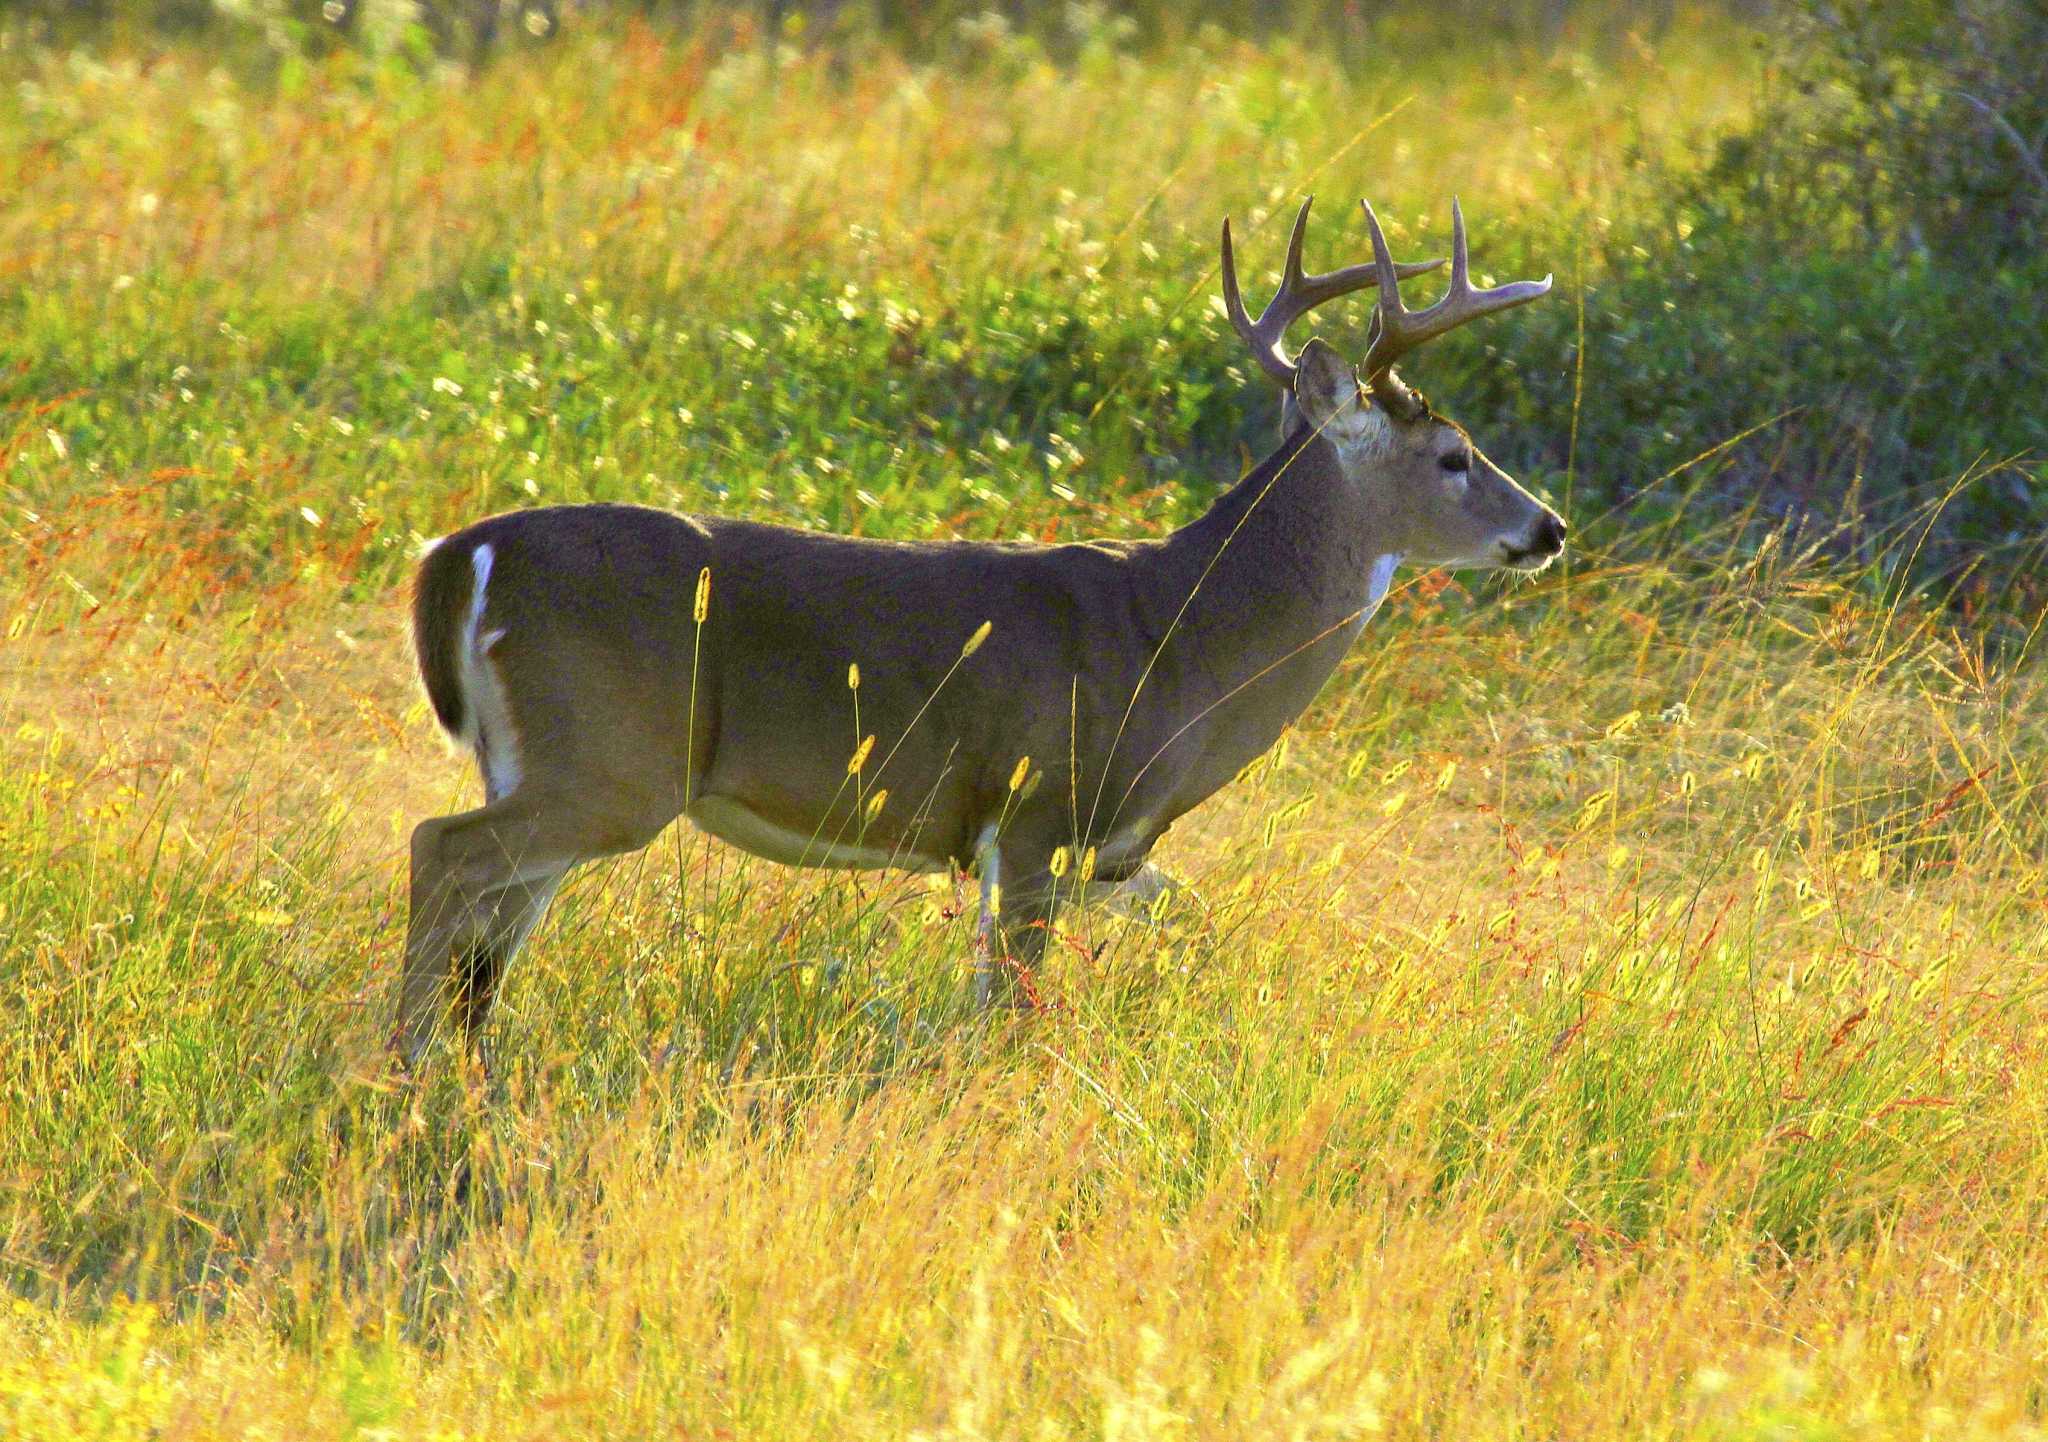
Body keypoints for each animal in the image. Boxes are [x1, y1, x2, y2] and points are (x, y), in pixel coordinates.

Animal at [391, 196, 1556, 1056]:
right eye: (1453, 455)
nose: (1545, 526)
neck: (1182, 640)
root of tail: (463, 553)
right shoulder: (1038, 806)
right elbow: (1011, 1006)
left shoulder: (1108, 851)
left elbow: (1191, 923)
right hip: (613, 761)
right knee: (442, 850)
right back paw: (403, 1066)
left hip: (551, 764)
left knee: (488, 926)